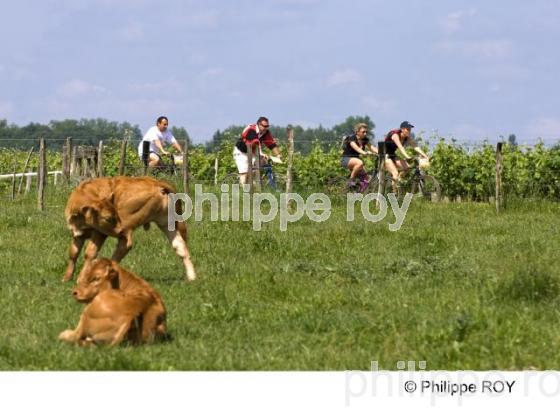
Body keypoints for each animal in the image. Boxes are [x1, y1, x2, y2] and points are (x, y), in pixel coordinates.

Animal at [62, 175, 195, 284]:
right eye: (108, 218)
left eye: (114, 216)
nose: (120, 230)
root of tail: (156, 183)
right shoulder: (77, 234)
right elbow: (73, 253)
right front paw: (66, 278)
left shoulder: (99, 233)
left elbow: (89, 253)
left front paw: (81, 279)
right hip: (166, 223)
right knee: (180, 246)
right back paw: (192, 278)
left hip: (128, 226)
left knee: (125, 245)